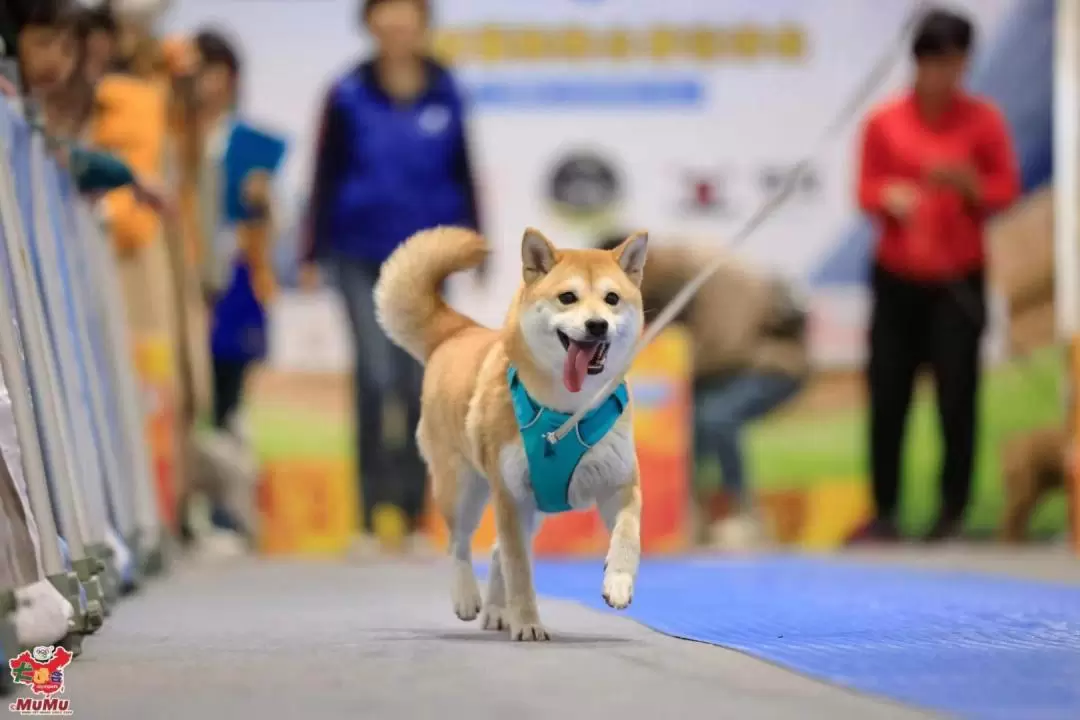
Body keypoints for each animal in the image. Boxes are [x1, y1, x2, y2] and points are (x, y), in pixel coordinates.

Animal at [371, 226, 643, 643]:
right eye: (568, 297)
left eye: (612, 299)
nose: (597, 324)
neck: (567, 412)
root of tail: (459, 331)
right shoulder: (511, 496)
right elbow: (520, 572)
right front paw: (528, 622)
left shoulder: (619, 483)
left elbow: (628, 536)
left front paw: (618, 583)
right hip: (464, 489)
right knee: (459, 544)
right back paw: (468, 597)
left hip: (534, 507)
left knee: (497, 550)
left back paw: (498, 612)